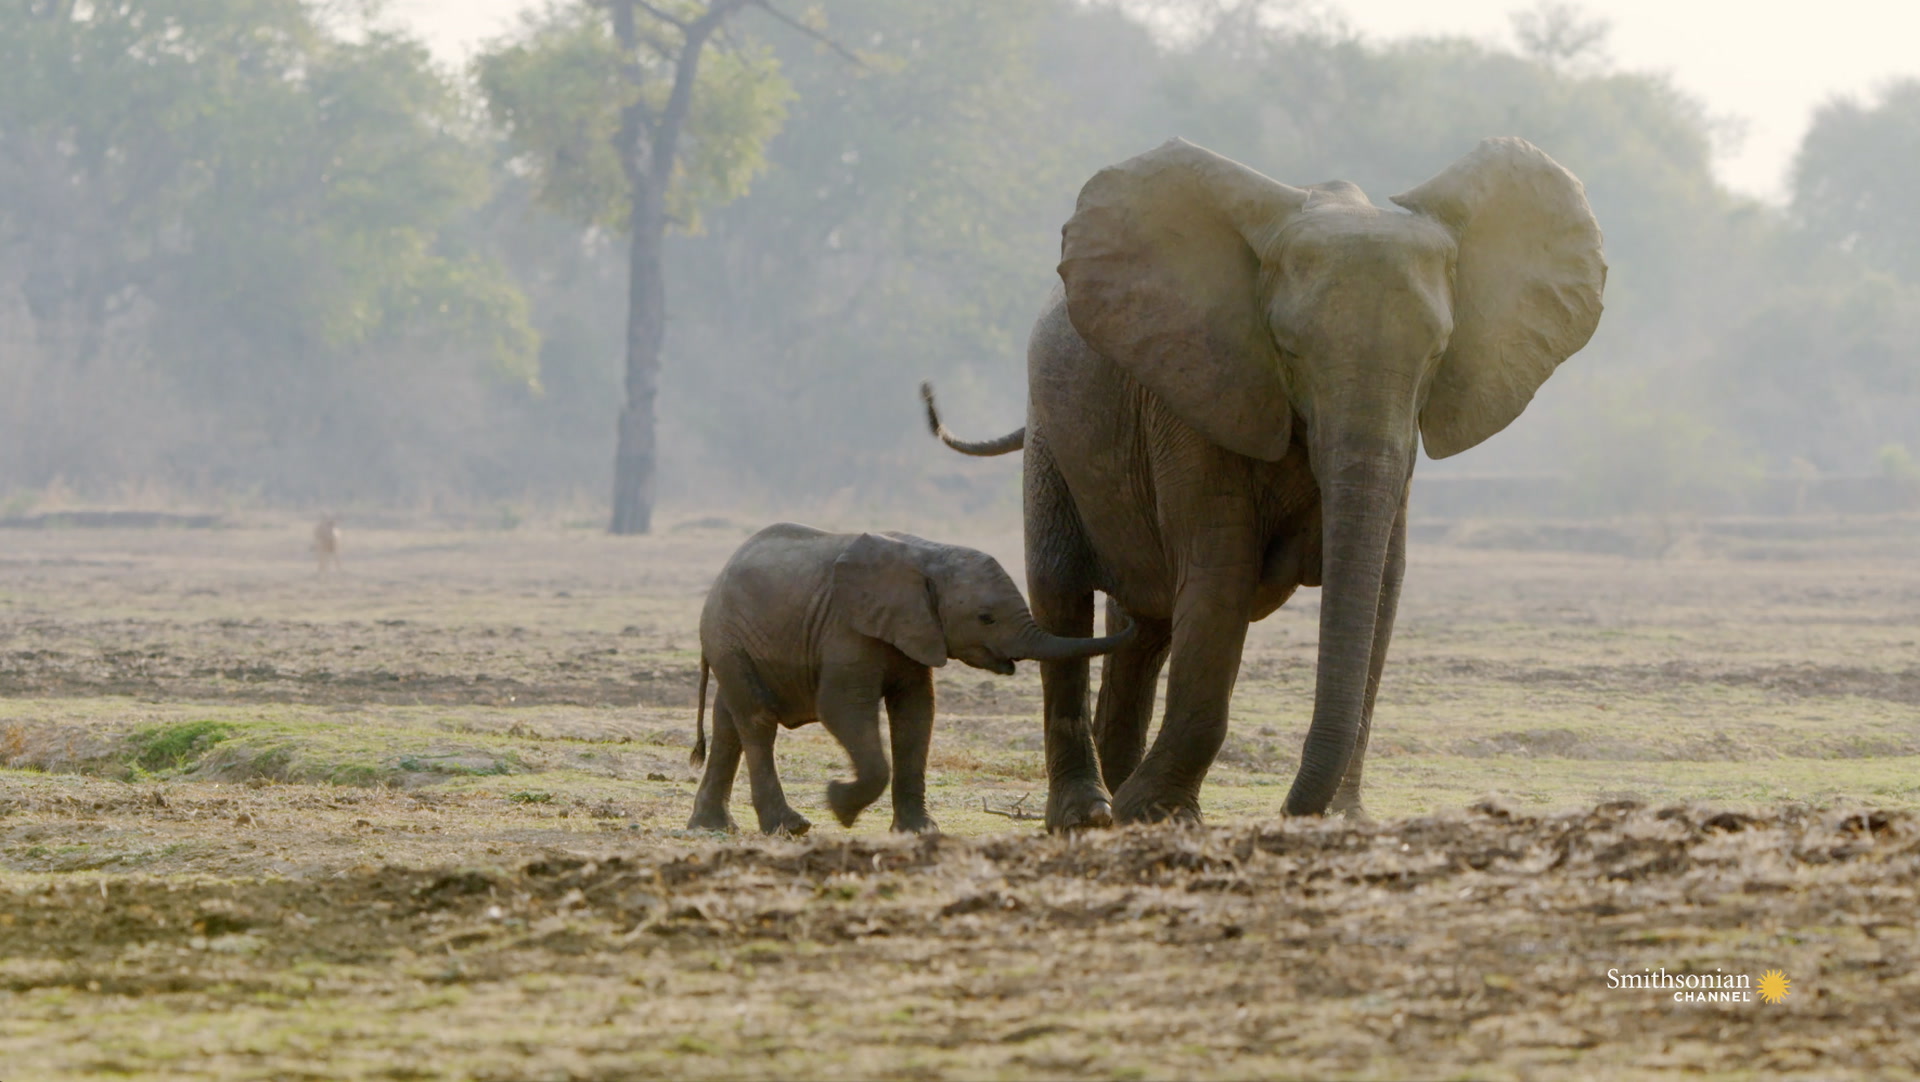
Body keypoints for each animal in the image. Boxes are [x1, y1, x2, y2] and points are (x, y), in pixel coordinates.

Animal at [691, 525, 1128, 836]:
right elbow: (842, 708)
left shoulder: (915, 632)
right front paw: (838, 804)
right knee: (757, 721)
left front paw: (920, 831)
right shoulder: (846, 629)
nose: (1134, 623)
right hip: (729, 639)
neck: (929, 554)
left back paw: (714, 827)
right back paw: (790, 827)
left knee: (728, 723)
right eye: (986, 618)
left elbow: (916, 712)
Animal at [921, 135, 1597, 828]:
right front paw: (1161, 815)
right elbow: (1222, 575)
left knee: (1146, 627)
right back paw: (1089, 814)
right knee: (1062, 593)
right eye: (1288, 348)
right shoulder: (1199, 392)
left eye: (1437, 355)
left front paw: (1342, 818)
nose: (1292, 812)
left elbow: (1383, 583)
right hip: (1052, 435)